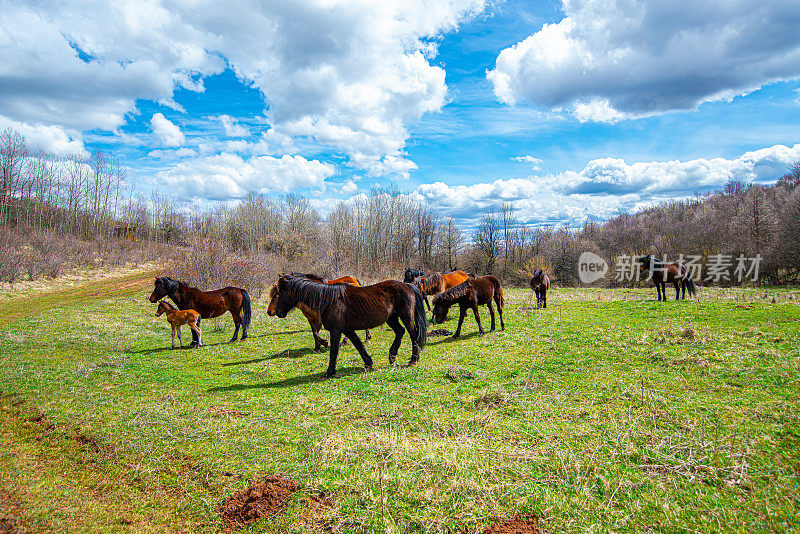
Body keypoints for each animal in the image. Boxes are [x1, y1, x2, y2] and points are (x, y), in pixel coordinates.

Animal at [272, 276, 428, 382]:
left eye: (279, 294)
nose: (278, 313)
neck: (329, 299)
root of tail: (408, 285)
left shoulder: (336, 330)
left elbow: (334, 351)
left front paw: (329, 372)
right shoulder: (347, 329)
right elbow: (358, 345)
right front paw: (368, 363)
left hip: (406, 317)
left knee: (413, 335)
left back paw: (413, 360)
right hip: (392, 318)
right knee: (400, 332)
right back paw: (392, 355)